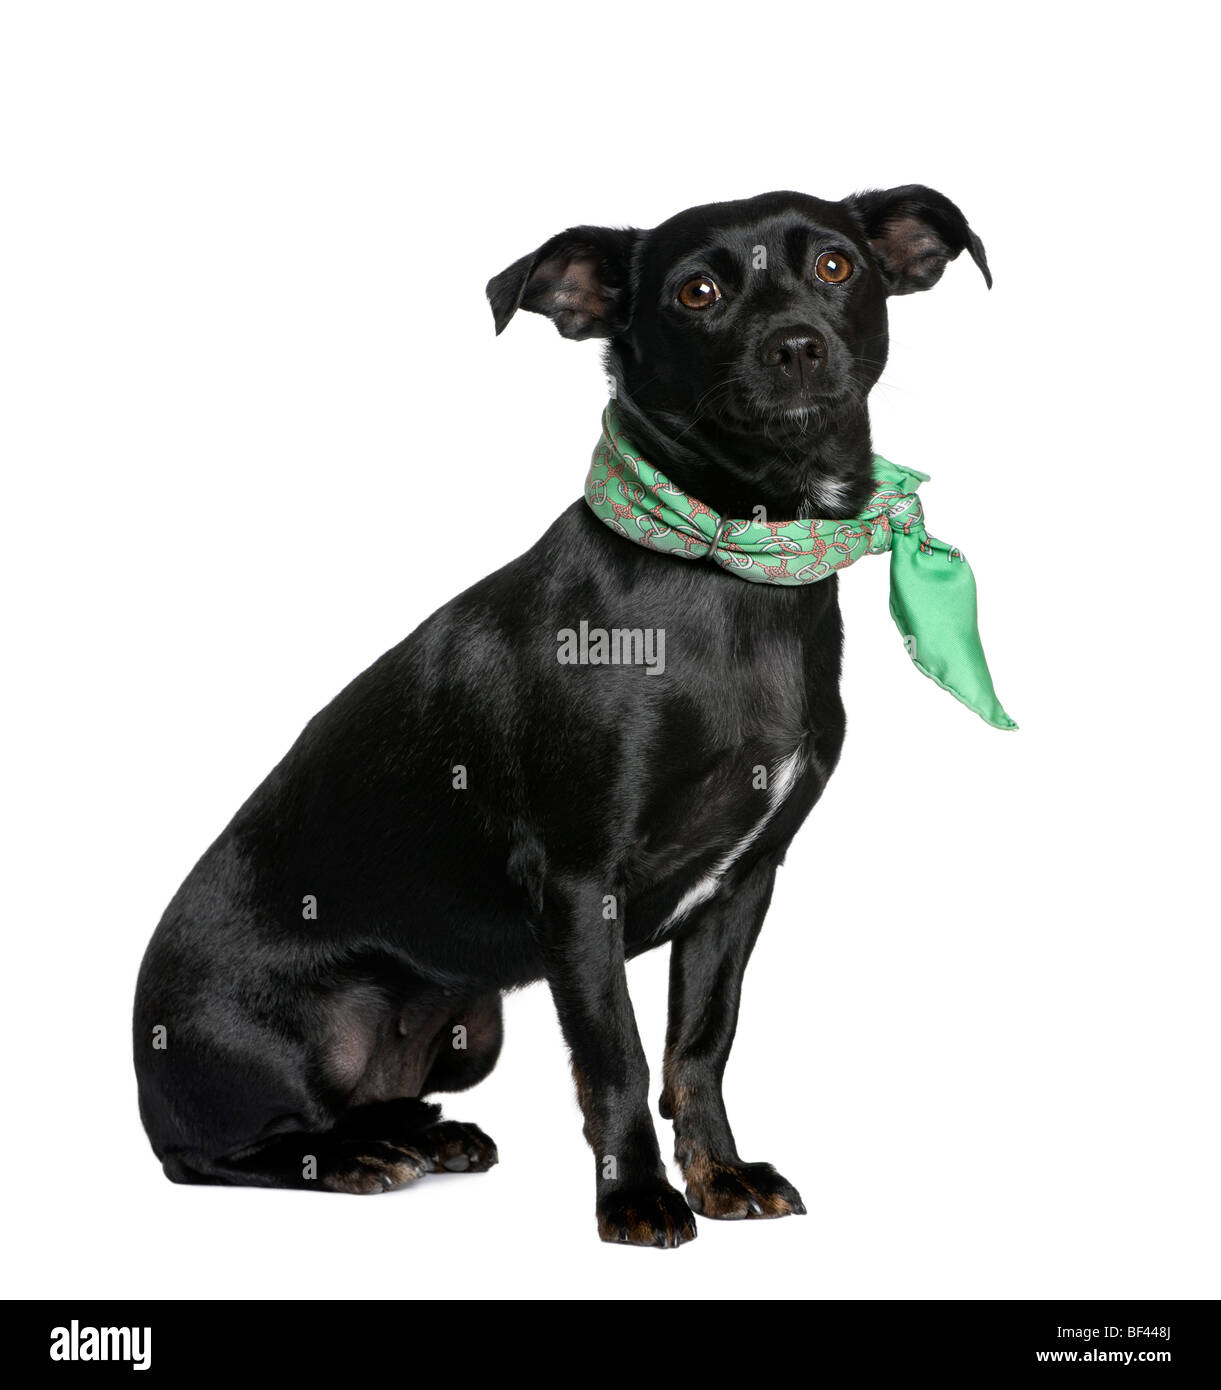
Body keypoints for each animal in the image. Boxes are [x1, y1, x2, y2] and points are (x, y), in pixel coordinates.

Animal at [133, 187, 995, 1251]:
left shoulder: (742, 886)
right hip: (287, 1043)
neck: (734, 565)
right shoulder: (582, 887)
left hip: (472, 1028)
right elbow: (616, 1056)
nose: (794, 344)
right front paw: (636, 1200)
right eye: (697, 292)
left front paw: (719, 1174)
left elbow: (699, 1045)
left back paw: (423, 1134)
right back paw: (346, 1159)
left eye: (836, 267)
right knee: (213, 1154)